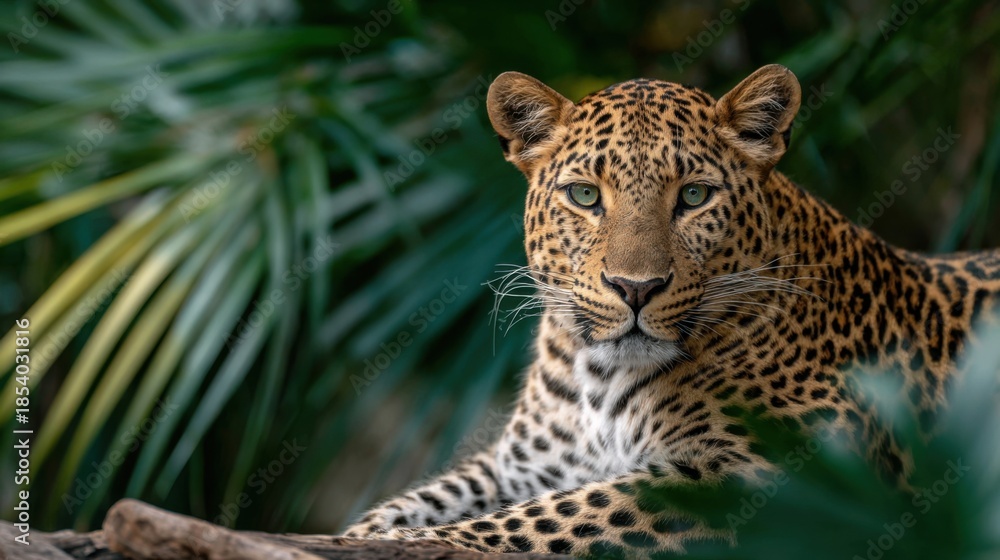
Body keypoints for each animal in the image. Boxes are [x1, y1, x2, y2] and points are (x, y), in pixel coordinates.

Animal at [342, 64, 1000, 556]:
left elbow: (562, 515)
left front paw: (417, 543)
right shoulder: (519, 466)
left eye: (694, 196)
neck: (599, 382)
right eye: (585, 195)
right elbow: (434, 497)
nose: (635, 288)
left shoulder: (776, 473)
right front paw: (369, 533)